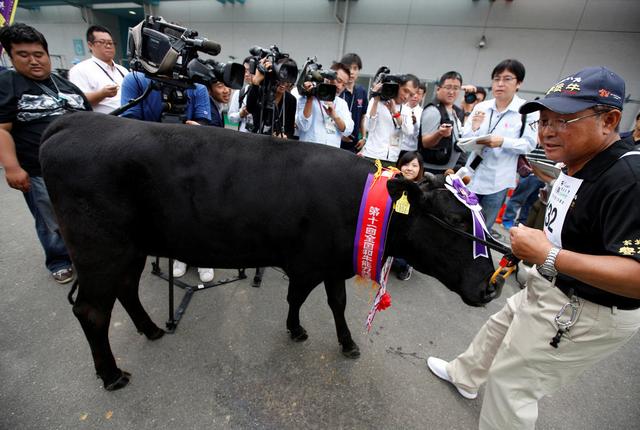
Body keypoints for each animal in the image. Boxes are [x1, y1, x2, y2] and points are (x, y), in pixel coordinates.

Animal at [40, 111, 500, 390]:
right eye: (457, 221)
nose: (492, 287)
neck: (362, 201)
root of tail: (73, 120)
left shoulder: (332, 263)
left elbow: (336, 302)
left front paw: (346, 342)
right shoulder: (307, 263)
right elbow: (297, 297)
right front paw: (296, 329)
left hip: (130, 248)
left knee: (126, 289)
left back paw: (150, 329)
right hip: (100, 250)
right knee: (92, 311)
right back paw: (112, 374)